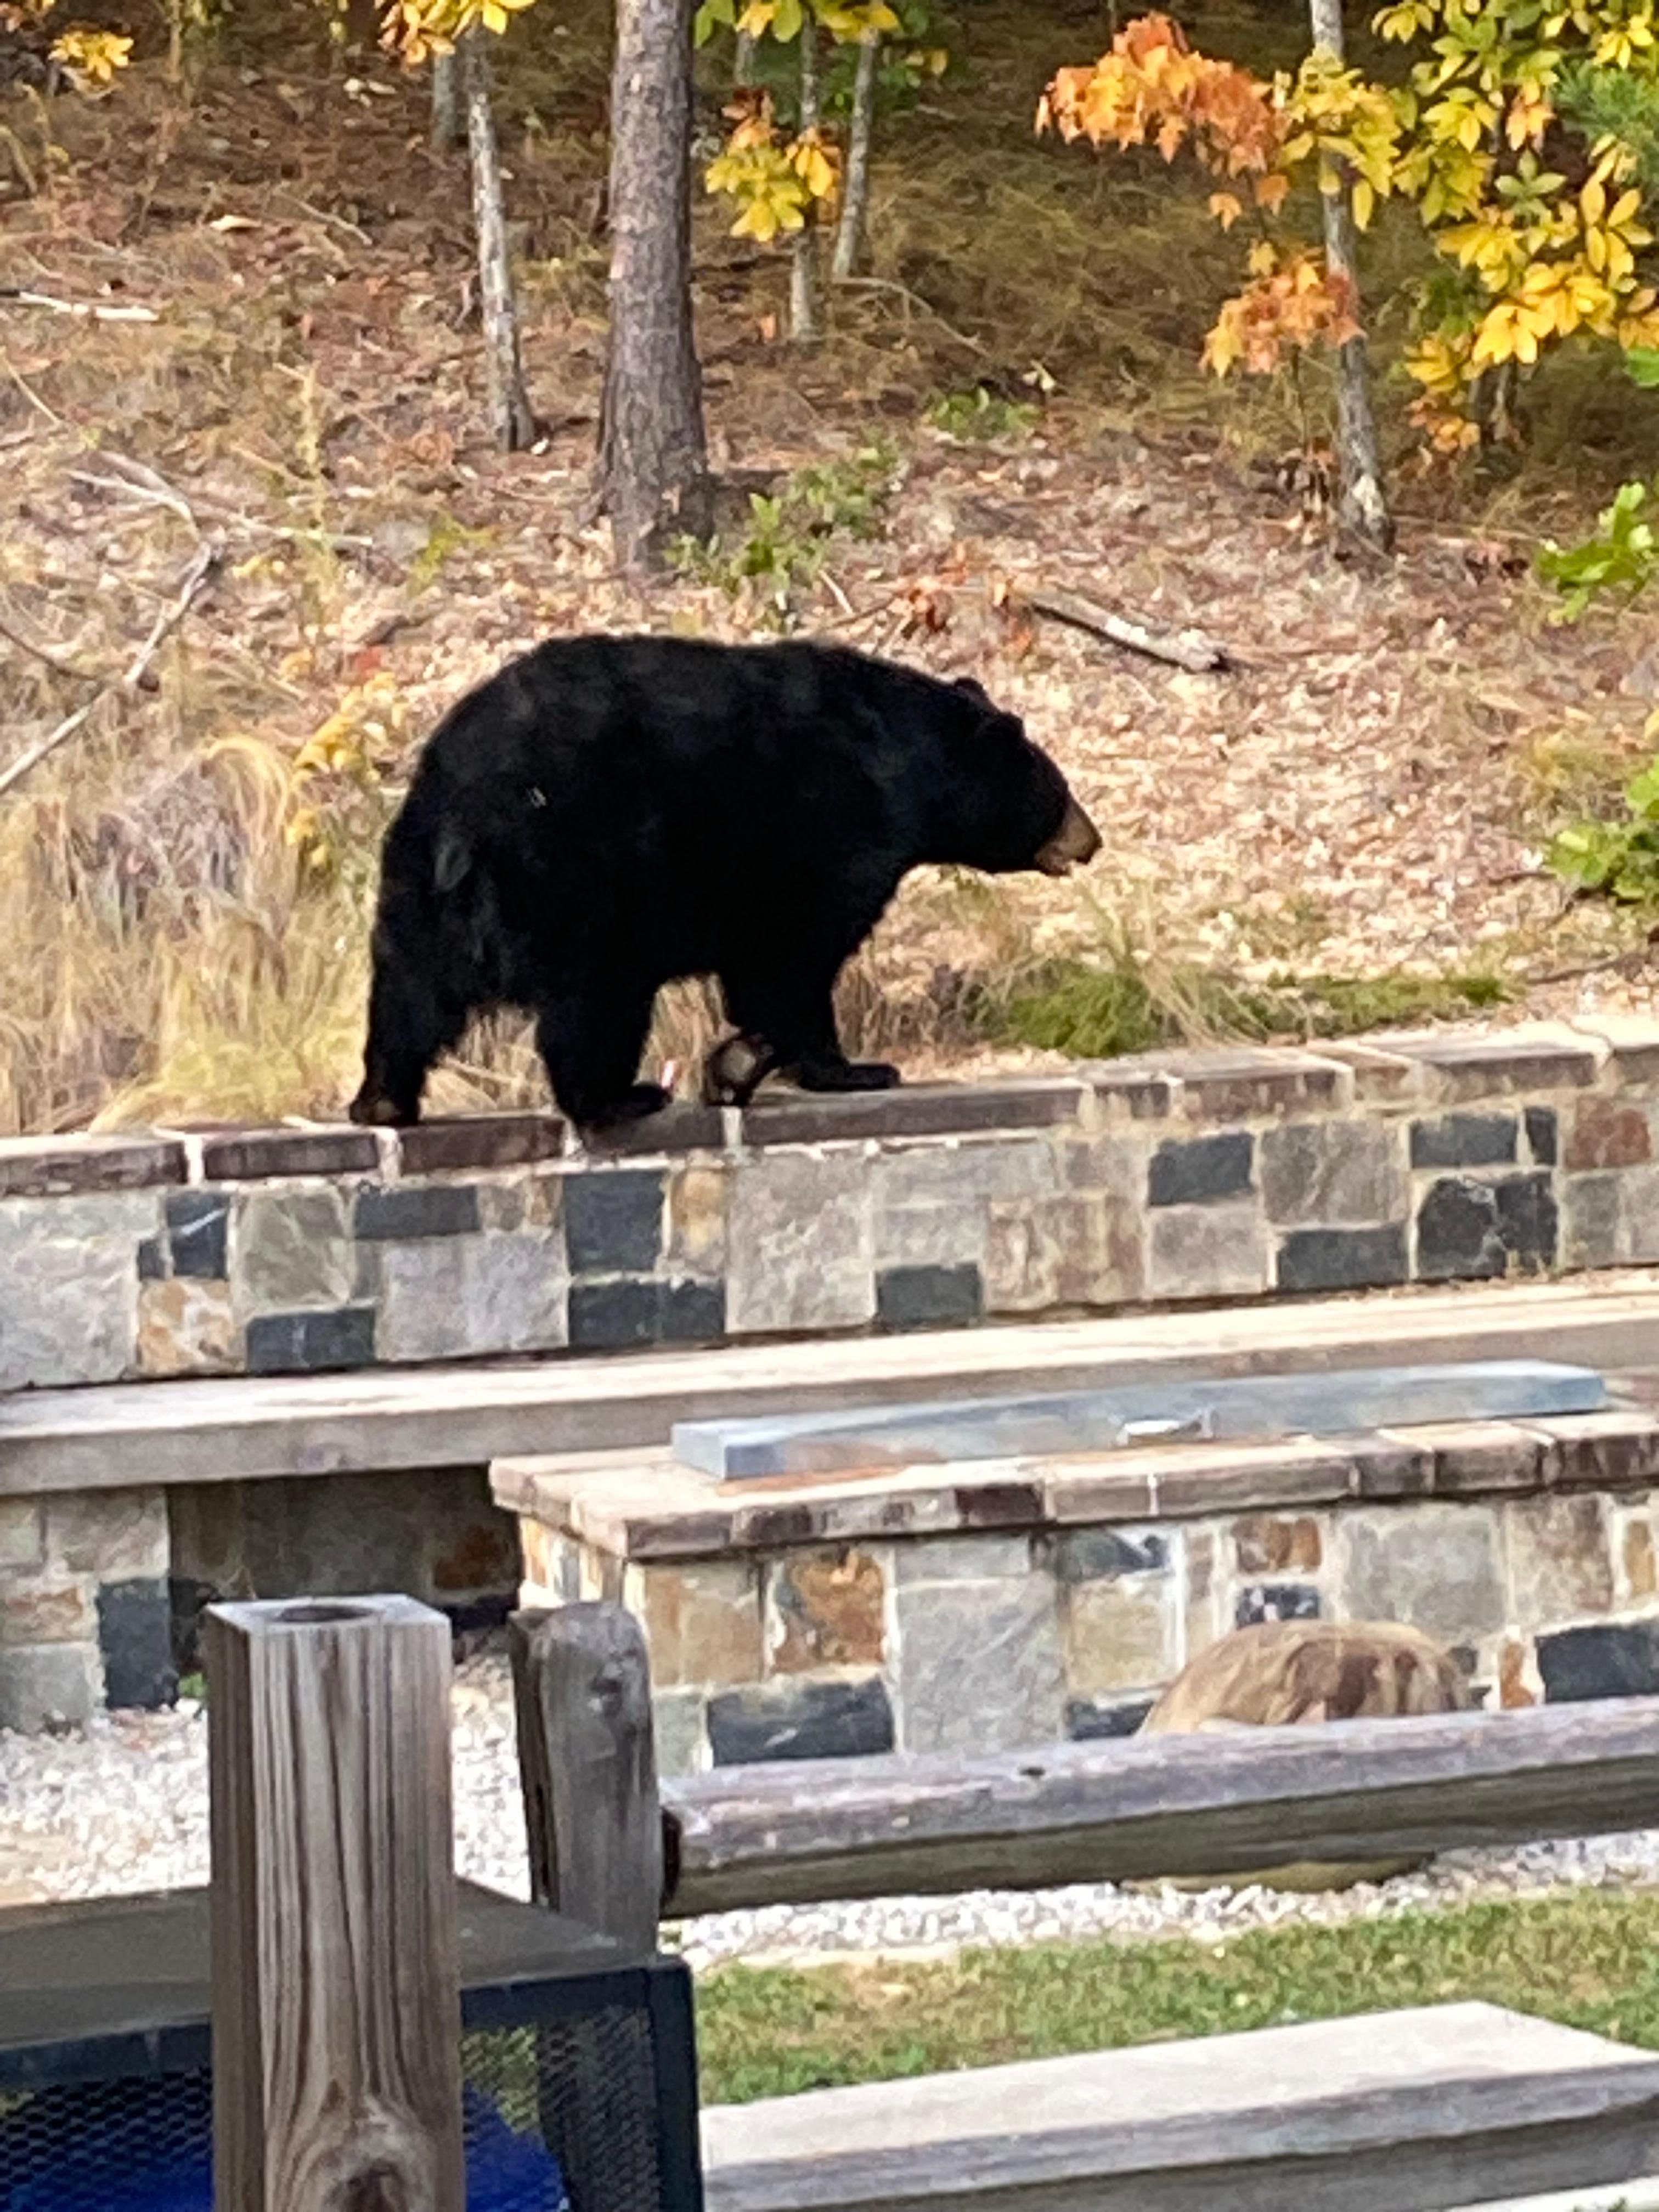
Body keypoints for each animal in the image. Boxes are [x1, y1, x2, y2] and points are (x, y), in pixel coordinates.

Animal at [347, 634, 1100, 1132]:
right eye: (1059, 790)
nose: (1090, 841)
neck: (900, 763)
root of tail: (464, 812)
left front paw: (746, 1063)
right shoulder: (832, 833)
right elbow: (795, 959)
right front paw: (844, 1069)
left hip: (416, 882)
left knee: (410, 991)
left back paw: (383, 1098)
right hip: (581, 884)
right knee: (593, 1003)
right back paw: (621, 1097)